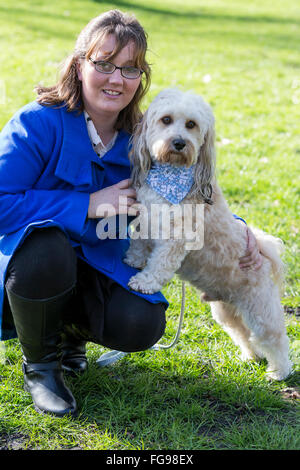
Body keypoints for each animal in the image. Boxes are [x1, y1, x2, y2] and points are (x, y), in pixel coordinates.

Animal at [123, 89, 292, 382]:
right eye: (166, 120)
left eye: (191, 124)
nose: (179, 142)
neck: (172, 176)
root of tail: (261, 250)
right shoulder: (146, 218)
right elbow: (140, 243)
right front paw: (134, 259)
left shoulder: (177, 237)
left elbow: (160, 264)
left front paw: (145, 281)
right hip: (227, 311)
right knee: (243, 333)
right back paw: (251, 357)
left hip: (260, 308)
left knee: (274, 338)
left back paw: (279, 371)